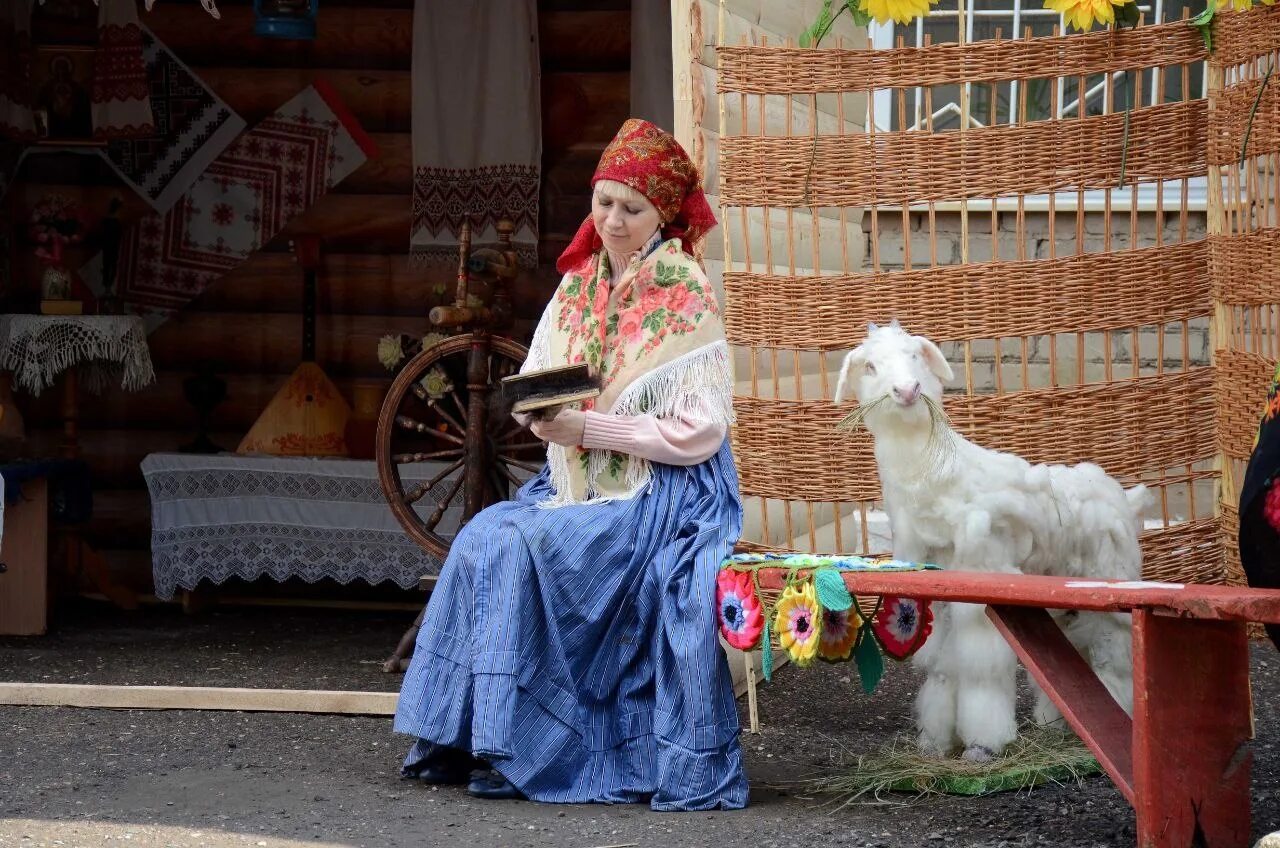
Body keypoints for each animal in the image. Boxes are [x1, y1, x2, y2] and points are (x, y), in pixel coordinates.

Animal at [839, 322, 1152, 758]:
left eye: (915, 356)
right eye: (870, 366)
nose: (907, 390)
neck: (936, 475)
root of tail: (1125, 497)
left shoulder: (983, 578)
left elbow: (979, 669)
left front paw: (982, 744)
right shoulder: (942, 591)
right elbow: (944, 667)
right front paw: (935, 742)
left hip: (1110, 587)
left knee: (1112, 658)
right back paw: (1056, 723)